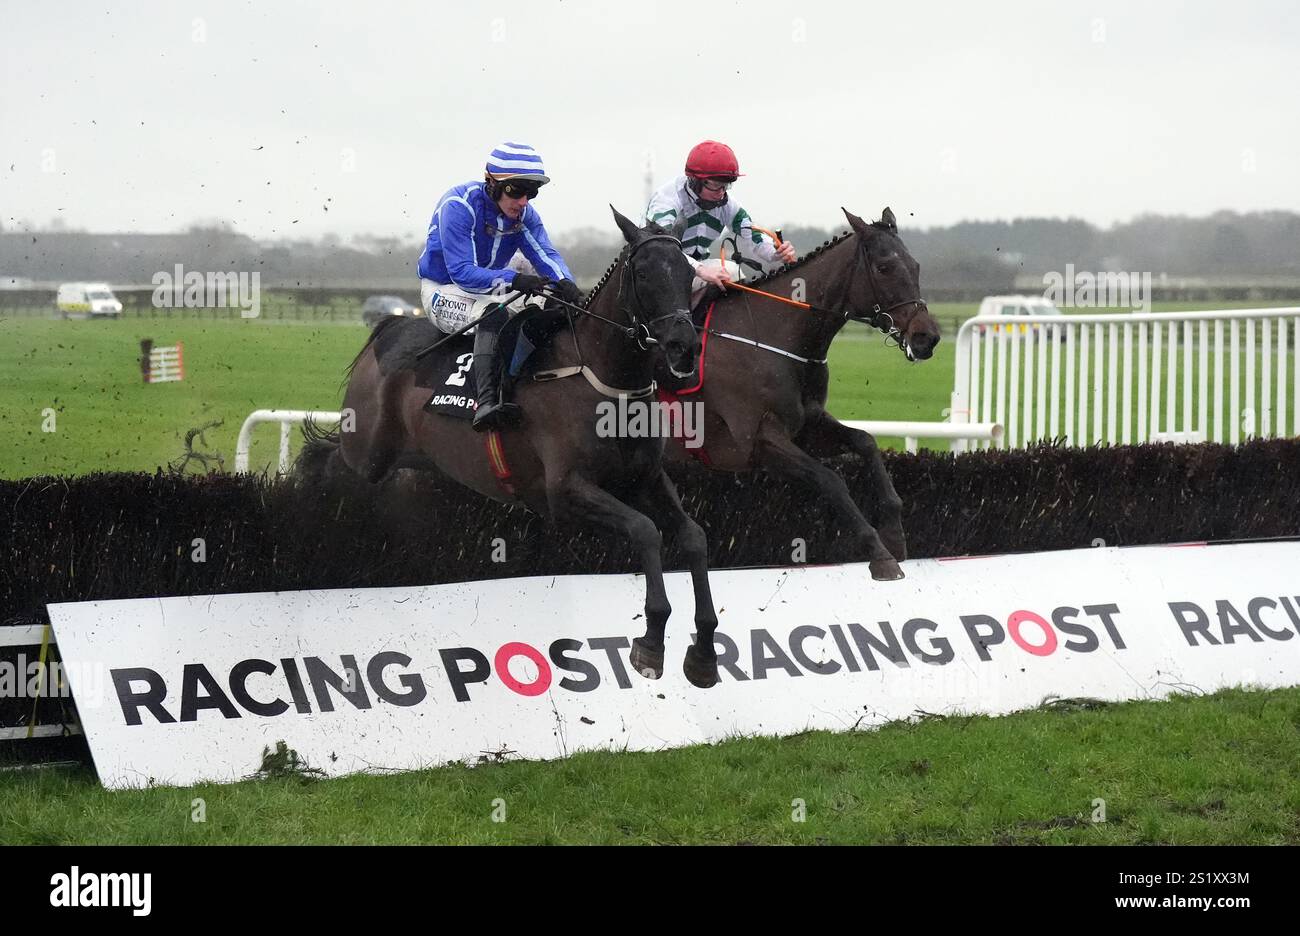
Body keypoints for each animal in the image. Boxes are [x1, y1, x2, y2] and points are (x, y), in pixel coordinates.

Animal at [306, 210, 733, 686]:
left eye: (688, 273)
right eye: (643, 273)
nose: (685, 346)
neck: (600, 378)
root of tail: (390, 328)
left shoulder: (645, 477)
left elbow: (693, 536)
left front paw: (705, 649)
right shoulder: (563, 492)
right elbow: (645, 530)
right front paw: (652, 640)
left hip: (415, 461)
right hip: (367, 454)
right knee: (329, 464)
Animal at [655, 208, 941, 582]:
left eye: (916, 265)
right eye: (884, 268)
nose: (927, 337)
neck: (772, 338)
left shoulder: (807, 424)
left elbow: (865, 442)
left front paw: (894, 533)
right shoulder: (759, 442)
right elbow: (829, 479)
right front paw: (879, 553)